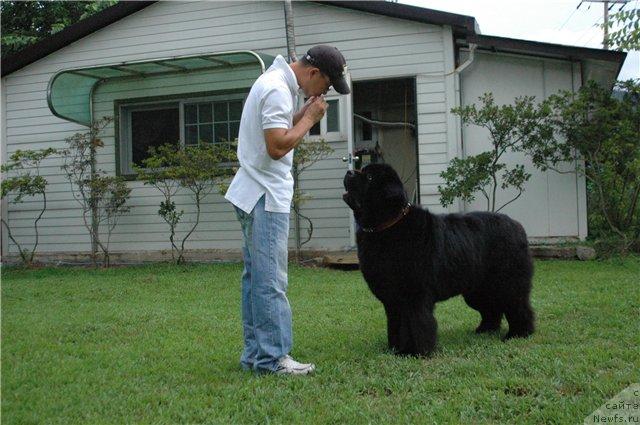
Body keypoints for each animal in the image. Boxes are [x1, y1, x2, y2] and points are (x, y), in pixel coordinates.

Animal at [344, 164, 536, 356]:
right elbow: (396, 325)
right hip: (478, 290)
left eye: (369, 177)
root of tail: (518, 226)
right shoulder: (392, 299)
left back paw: (519, 334)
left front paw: (416, 351)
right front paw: (395, 348)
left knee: (519, 306)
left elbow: (416, 323)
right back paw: (485, 330)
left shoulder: (414, 294)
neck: (388, 225)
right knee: (492, 309)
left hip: (508, 284)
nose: (349, 172)